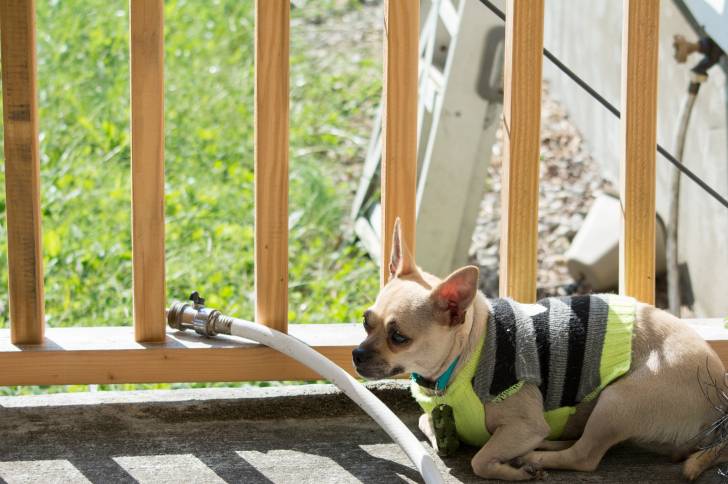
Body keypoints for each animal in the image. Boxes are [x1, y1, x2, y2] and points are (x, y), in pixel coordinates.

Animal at [352, 220, 728, 480]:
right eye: (366, 322)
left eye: (399, 337)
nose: (356, 354)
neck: (461, 359)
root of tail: (719, 401)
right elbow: (425, 420)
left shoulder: (525, 424)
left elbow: (479, 460)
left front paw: (509, 470)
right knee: (579, 443)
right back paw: (545, 446)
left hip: (618, 399)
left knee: (585, 456)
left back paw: (535, 458)